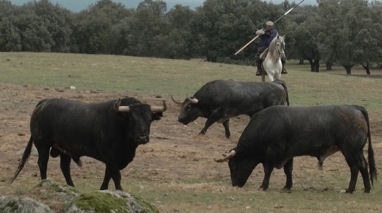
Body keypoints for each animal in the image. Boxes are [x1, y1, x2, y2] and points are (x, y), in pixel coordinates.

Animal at [11, 97, 166, 191]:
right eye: (132, 120)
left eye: (149, 119)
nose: (142, 137)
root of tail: (44, 102)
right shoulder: (110, 157)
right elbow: (116, 176)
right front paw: (120, 191)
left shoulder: (113, 160)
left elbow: (108, 175)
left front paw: (102, 190)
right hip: (42, 145)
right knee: (43, 164)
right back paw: (44, 183)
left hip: (64, 149)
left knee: (65, 168)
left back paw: (72, 187)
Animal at [216, 105, 378, 193]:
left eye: (232, 165)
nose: (234, 184)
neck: (265, 125)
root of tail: (355, 108)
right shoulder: (288, 154)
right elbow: (288, 170)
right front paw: (287, 186)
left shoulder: (273, 152)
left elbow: (267, 170)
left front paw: (263, 186)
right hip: (358, 151)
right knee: (363, 166)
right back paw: (367, 188)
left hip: (349, 151)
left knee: (355, 168)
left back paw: (350, 189)